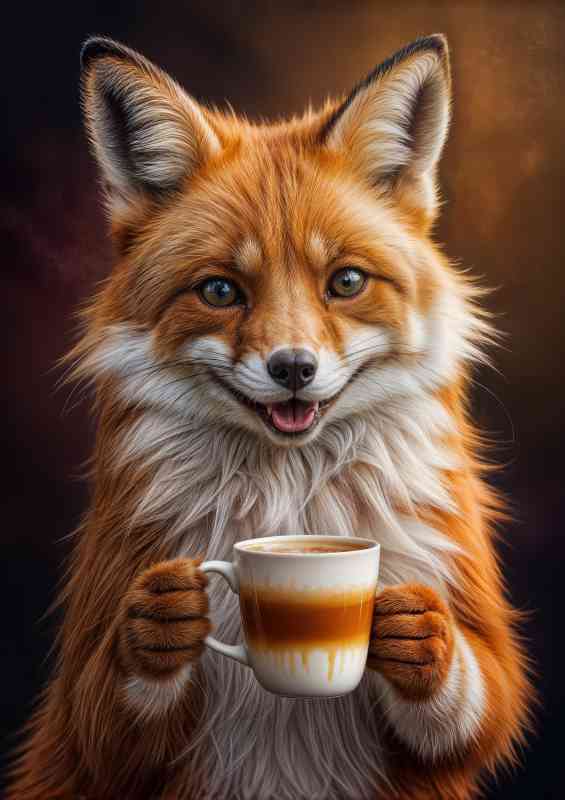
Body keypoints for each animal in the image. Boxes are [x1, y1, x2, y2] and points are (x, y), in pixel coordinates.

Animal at [7, 33, 530, 800]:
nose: (292, 368)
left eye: (346, 282)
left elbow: (483, 710)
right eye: (221, 291)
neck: (291, 502)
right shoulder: (88, 715)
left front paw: (419, 637)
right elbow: (102, 721)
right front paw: (156, 628)